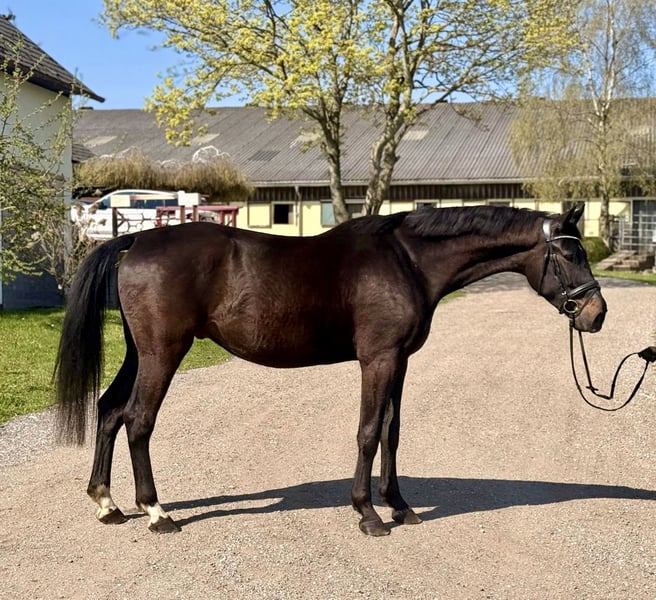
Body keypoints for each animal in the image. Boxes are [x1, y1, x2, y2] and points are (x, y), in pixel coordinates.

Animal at [54, 203, 606, 536]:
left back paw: (107, 503)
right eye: (568, 253)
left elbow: (391, 431)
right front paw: (368, 513)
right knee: (138, 420)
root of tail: (136, 243)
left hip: (140, 352)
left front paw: (399, 505)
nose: (597, 314)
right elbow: (367, 432)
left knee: (109, 411)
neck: (407, 260)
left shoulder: (400, 361)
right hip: (164, 353)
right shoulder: (378, 359)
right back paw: (156, 512)